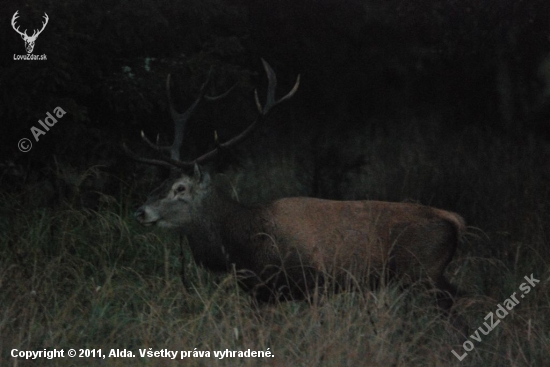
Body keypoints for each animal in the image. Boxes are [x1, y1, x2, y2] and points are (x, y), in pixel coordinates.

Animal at [127, 59, 468, 314]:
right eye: (162, 181)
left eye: (180, 188)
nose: (140, 212)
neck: (244, 245)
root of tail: (454, 220)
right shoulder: (262, 293)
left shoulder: (313, 283)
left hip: (424, 271)